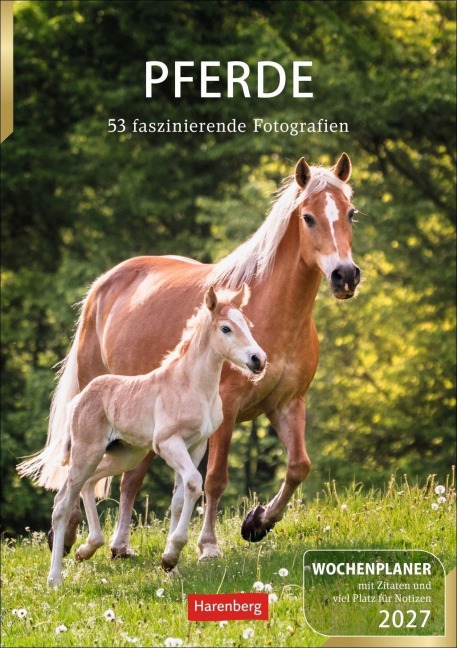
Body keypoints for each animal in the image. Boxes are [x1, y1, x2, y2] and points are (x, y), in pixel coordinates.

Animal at [46, 285, 266, 587]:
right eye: (225, 328)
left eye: (247, 324)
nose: (259, 360)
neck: (191, 386)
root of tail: (79, 398)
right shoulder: (168, 443)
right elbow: (194, 483)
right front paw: (173, 553)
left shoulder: (196, 445)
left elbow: (180, 499)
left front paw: (170, 566)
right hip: (86, 452)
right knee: (62, 503)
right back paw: (55, 578)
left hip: (124, 454)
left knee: (89, 484)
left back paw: (87, 548)